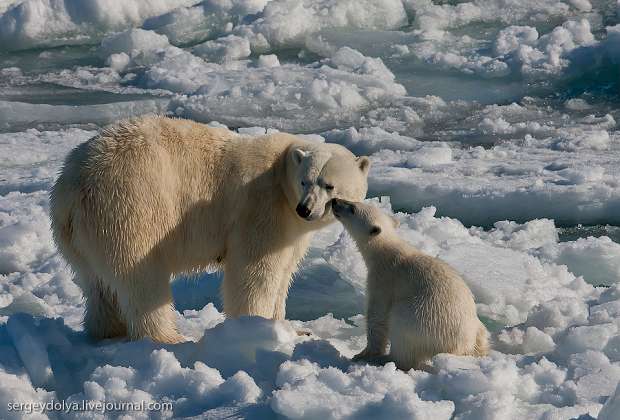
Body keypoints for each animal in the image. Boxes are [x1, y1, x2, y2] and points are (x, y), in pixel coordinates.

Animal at [50, 115, 368, 342]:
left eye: (329, 185)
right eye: (305, 181)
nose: (306, 209)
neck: (281, 170)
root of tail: (72, 187)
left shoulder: (292, 229)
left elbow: (284, 271)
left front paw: (293, 329)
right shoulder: (261, 208)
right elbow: (255, 271)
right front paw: (255, 327)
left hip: (78, 236)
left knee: (97, 283)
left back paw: (107, 331)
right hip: (128, 207)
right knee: (141, 278)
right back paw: (170, 337)